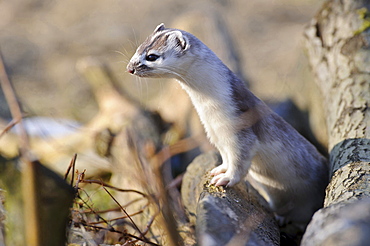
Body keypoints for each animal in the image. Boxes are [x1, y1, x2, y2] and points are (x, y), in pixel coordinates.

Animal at [126, 23, 326, 225]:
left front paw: (225, 179)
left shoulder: (241, 132)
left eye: (152, 56)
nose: (129, 68)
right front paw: (219, 170)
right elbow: (226, 156)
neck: (210, 112)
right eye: (137, 49)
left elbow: (239, 163)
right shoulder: (215, 134)